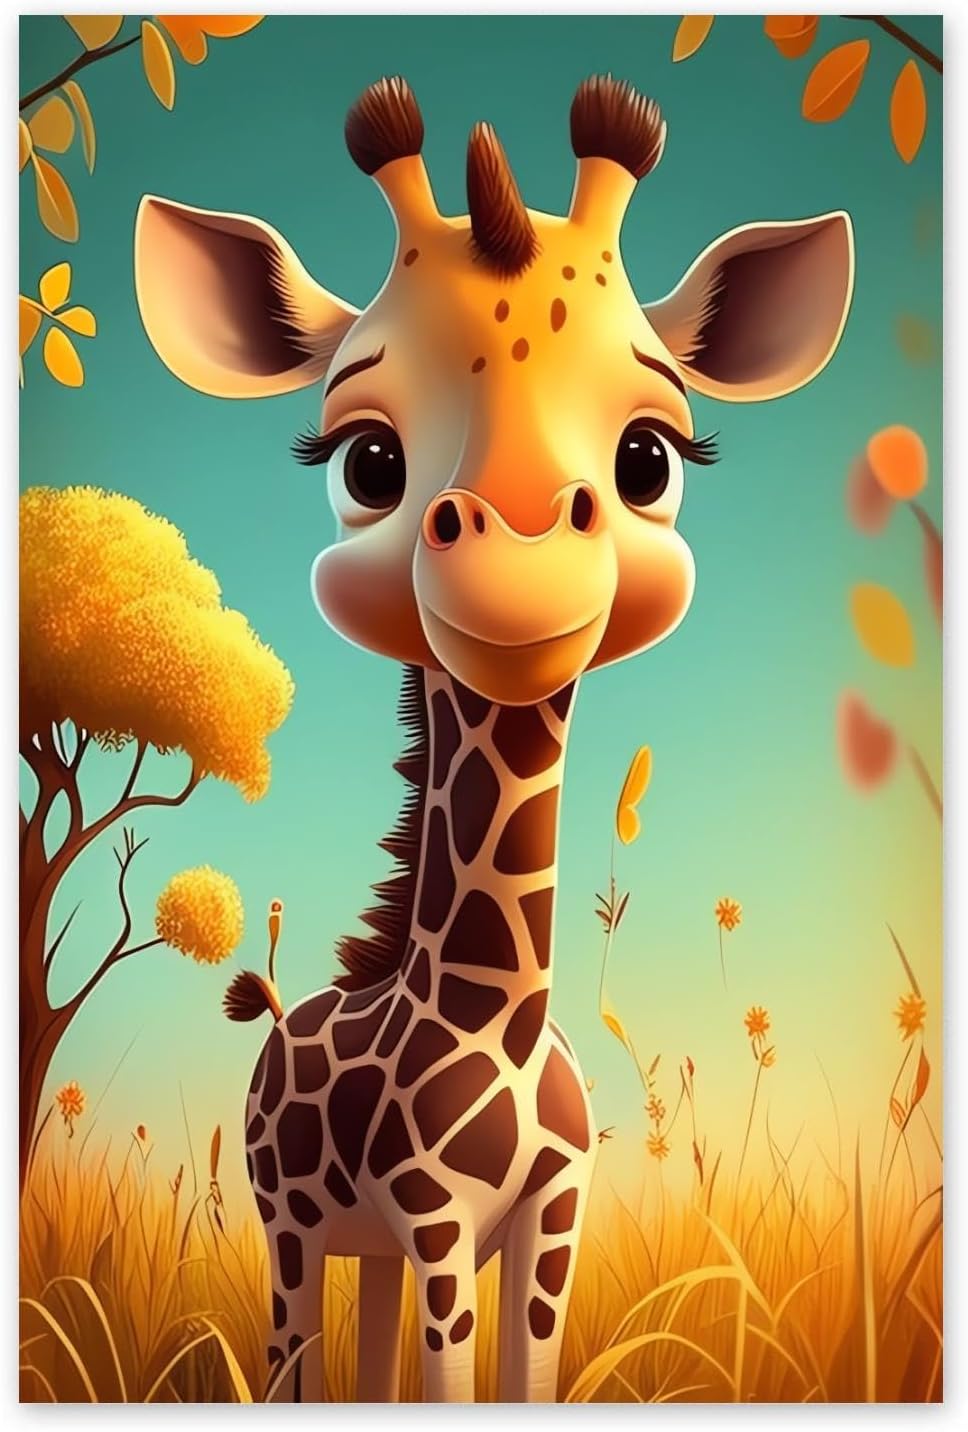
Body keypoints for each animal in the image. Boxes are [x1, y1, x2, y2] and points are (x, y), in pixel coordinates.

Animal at [134, 74, 854, 1403]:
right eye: (367, 461)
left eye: (648, 458)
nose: (518, 570)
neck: (497, 1022)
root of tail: (281, 1016)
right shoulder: (433, 1222)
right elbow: (446, 1379)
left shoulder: (548, 1217)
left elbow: (524, 1373)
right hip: (288, 1222)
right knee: (290, 1358)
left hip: (357, 1243)